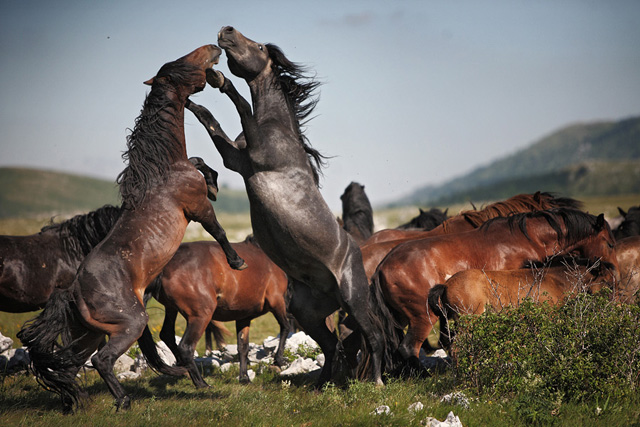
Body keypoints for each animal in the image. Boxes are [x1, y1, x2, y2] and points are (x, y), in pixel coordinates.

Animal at [16, 44, 248, 414]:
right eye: (182, 64)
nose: (213, 49)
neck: (163, 171)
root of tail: (72, 291)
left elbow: (200, 162)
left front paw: (213, 182)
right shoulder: (196, 208)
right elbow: (220, 230)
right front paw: (237, 261)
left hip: (90, 333)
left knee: (70, 365)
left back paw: (75, 401)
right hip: (130, 324)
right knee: (102, 360)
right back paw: (123, 400)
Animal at [139, 236, 292, 386]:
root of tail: (163, 268)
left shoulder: (243, 316)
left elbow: (243, 347)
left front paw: (244, 378)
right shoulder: (277, 300)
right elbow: (285, 327)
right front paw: (279, 360)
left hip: (171, 309)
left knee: (167, 334)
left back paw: (185, 371)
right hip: (201, 316)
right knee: (185, 347)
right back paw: (201, 383)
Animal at [188, 26, 392, 388]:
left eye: (257, 46)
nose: (226, 31)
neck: (277, 126)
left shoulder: (254, 155)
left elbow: (241, 104)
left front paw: (220, 79)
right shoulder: (237, 160)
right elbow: (209, 123)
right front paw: (191, 101)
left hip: (353, 300)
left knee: (374, 336)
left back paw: (376, 382)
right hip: (307, 312)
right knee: (333, 345)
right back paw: (320, 385)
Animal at [370, 209, 620, 372]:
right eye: (609, 243)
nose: (615, 276)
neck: (525, 239)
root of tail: (381, 267)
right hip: (423, 317)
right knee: (408, 348)